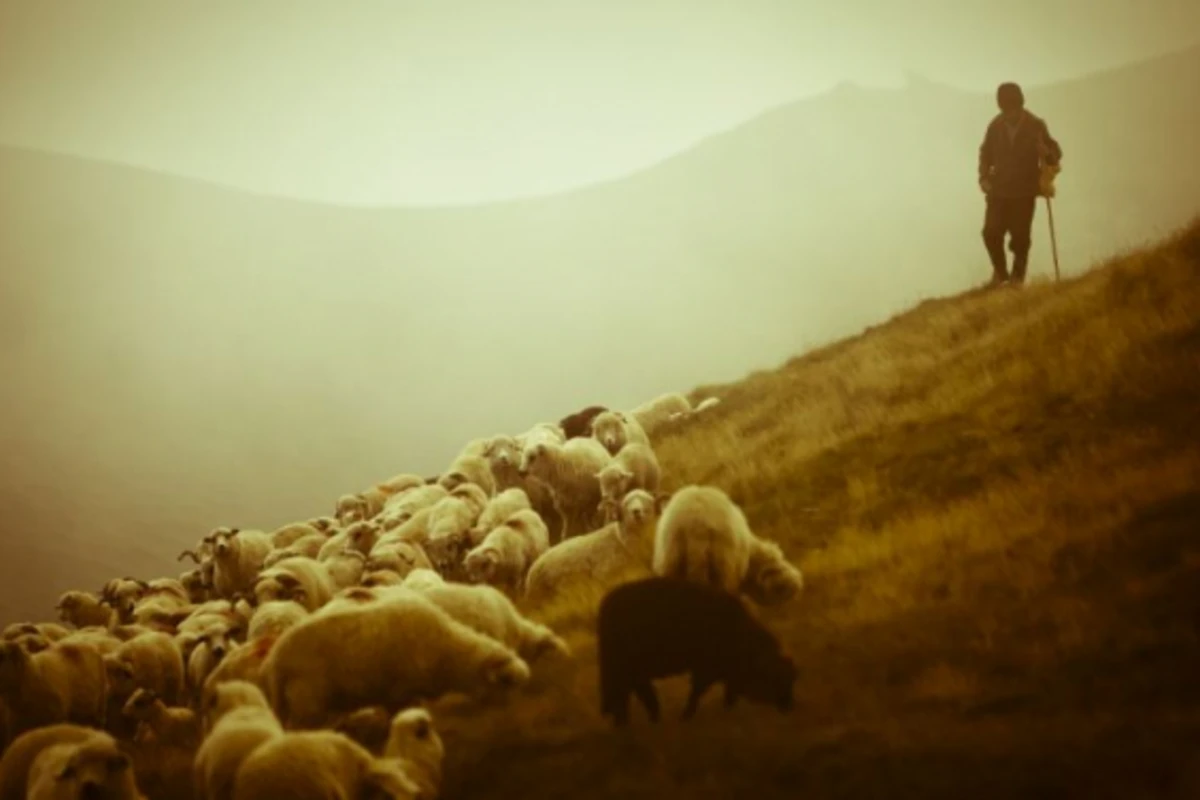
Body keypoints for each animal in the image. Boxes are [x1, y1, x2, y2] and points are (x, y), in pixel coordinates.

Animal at [523, 489, 662, 606]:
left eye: (647, 500)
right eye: (626, 504)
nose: (636, 511)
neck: (621, 541)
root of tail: (531, 573)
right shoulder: (605, 578)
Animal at [592, 575, 796, 724]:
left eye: (791, 679)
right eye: (779, 680)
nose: (789, 706)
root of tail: (605, 607)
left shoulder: (726, 672)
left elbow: (728, 692)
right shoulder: (706, 669)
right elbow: (698, 692)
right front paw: (687, 715)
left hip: (625, 669)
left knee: (627, 694)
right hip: (624, 667)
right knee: (625, 694)